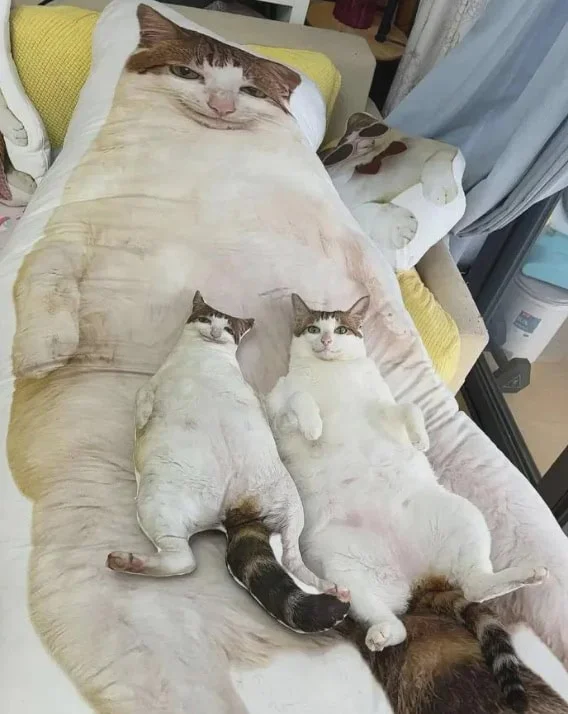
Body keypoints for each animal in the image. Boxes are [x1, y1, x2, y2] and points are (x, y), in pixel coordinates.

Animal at [107, 291, 350, 633]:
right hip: (279, 511)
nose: (213, 331)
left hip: (160, 503)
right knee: (289, 560)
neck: (204, 357)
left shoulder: (152, 385)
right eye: (206, 318)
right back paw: (332, 587)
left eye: (227, 328)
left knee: (184, 560)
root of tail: (238, 513)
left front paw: (140, 422)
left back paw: (125, 561)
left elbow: (141, 399)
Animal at [266, 293, 548, 656]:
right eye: (314, 329)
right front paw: (314, 427)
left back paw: (531, 573)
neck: (329, 371)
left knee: (474, 584)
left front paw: (420, 439)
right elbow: (301, 399)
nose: (326, 341)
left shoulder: (383, 404)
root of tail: (416, 575)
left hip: (463, 515)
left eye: (341, 329)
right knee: (407, 621)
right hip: (344, 570)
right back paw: (381, 634)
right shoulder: (277, 412)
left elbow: (410, 408)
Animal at [319, 112, 459, 253]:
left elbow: (436, 161)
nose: (363, 143)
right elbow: (375, 212)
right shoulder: (347, 207)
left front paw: (440, 189)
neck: (378, 160)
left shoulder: (445, 148)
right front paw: (400, 225)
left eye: (369, 129)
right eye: (340, 152)